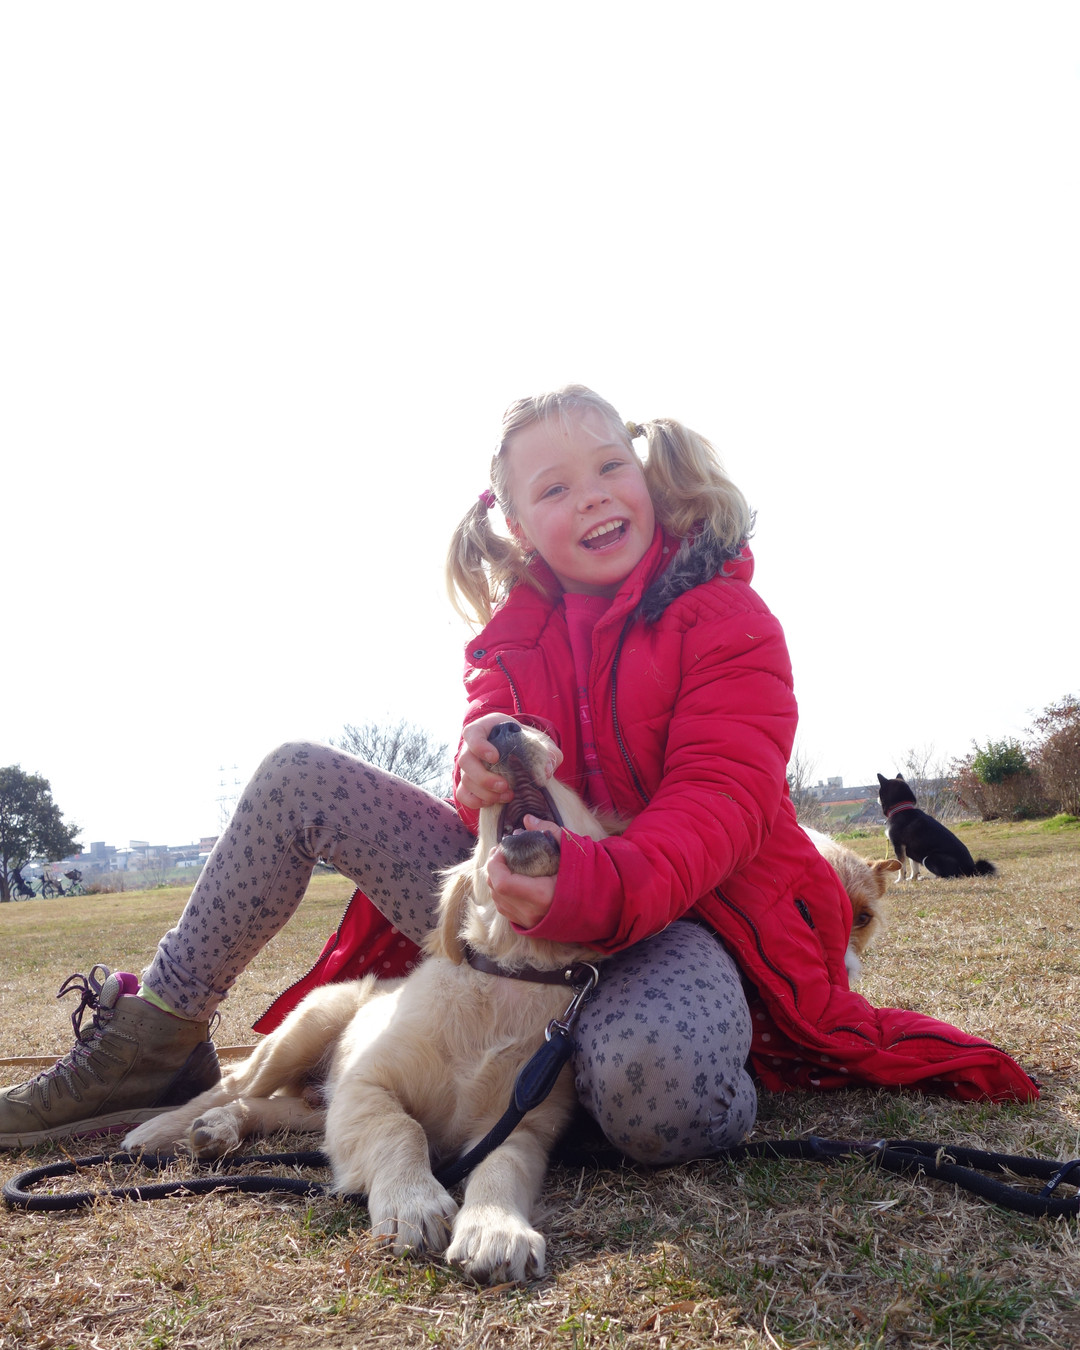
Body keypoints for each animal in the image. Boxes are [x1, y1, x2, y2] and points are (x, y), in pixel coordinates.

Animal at [126, 720, 612, 1284]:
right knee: (234, 1083)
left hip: (320, 1100)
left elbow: (502, 1163)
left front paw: (495, 1229)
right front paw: (412, 1202)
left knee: (273, 1107)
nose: (504, 726)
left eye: (574, 792)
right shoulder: (365, 1083)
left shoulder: (524, 1122)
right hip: (306, 1029)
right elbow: (401, 1128)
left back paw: (220, 1129)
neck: (510, 977)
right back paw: (159, 1129)